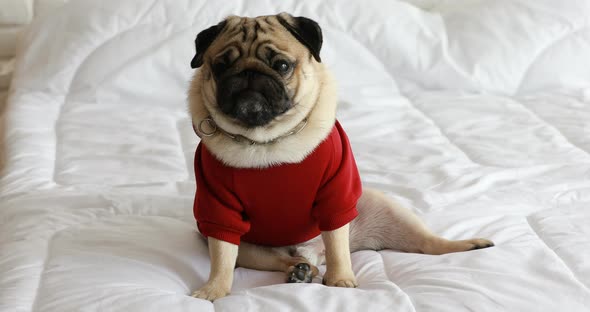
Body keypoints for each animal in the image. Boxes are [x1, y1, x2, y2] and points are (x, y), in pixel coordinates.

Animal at [190, 13, 494, 302]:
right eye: (220, 66)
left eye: (282, 66)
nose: (248, 74)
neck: (265, 142)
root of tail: (312, 251)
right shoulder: (218, 211)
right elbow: (222, 258)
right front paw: (213, 290)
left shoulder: (335, 196)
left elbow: (337, 246)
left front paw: (340, 281)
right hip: (249, 249)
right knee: (284, 259)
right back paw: (300, 271)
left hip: (390, 211)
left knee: (427, 243)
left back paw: (468, 245)